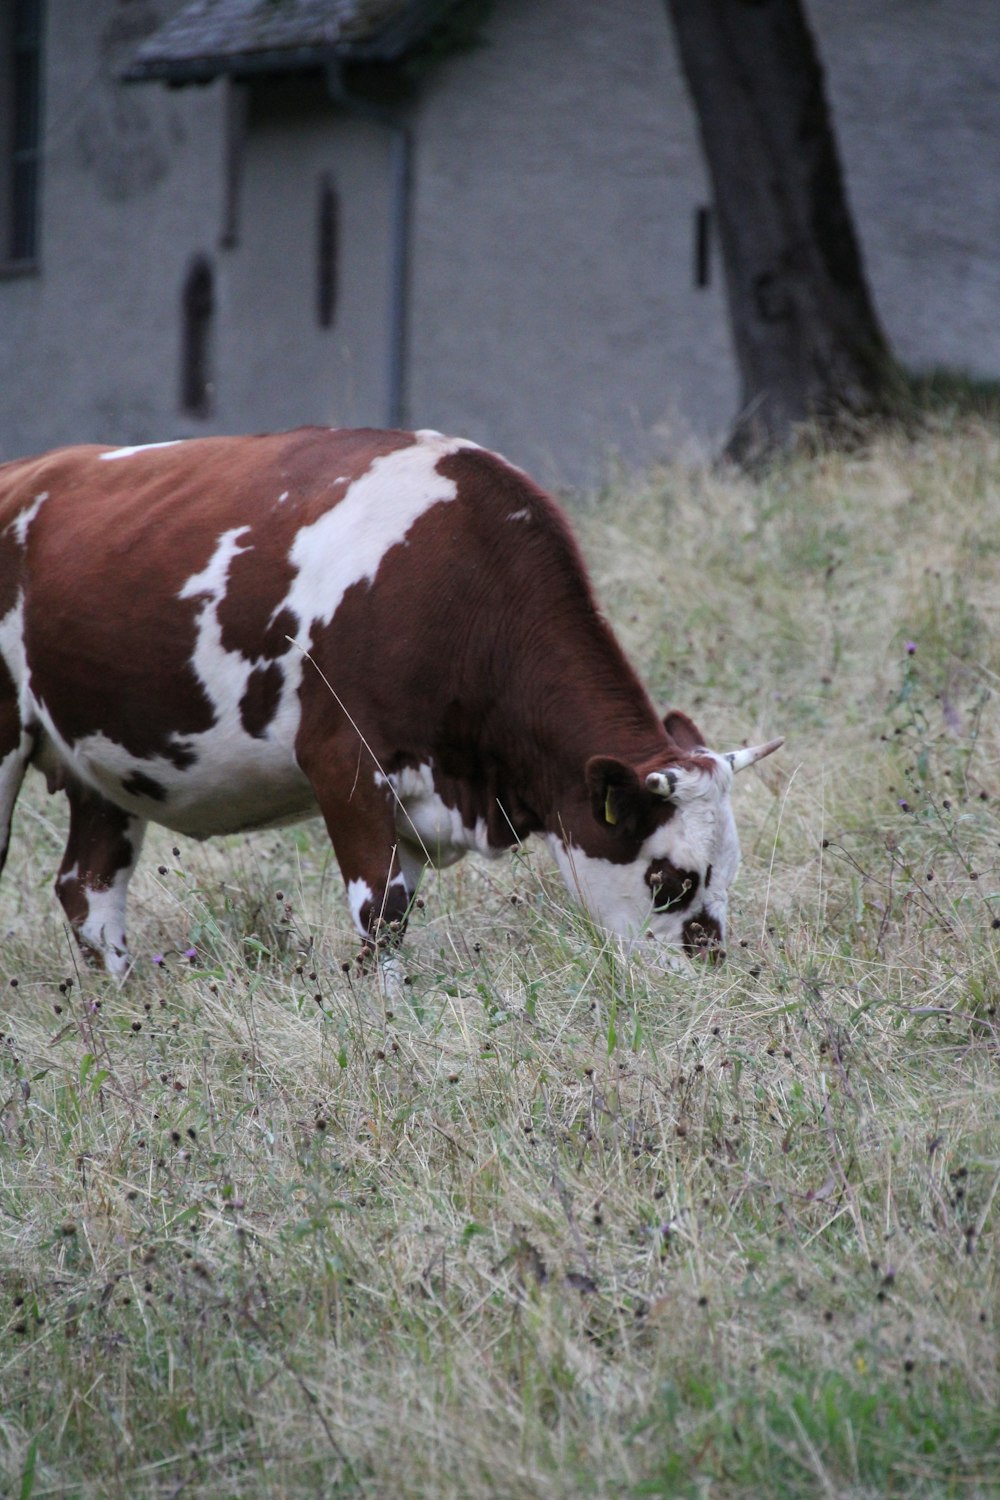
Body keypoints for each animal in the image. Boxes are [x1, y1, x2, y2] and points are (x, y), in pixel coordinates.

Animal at [0, 429, 779, 978]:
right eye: (668, 879)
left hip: (100, 763)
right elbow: (379, 913)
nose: (709, 978)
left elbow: (398, 915)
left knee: (88, 890)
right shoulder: (343, 763)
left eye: (731, 870)